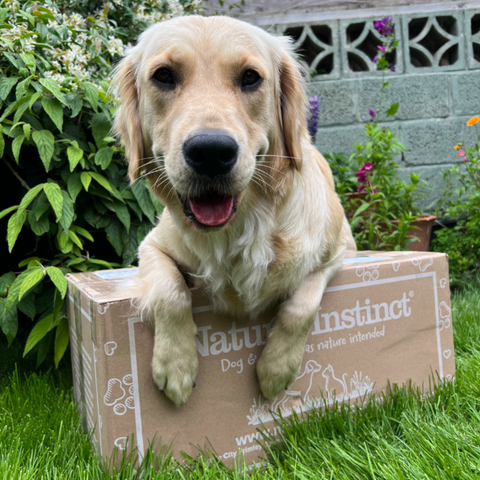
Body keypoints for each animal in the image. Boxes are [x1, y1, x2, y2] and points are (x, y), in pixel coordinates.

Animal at [111, 14, 352, 404]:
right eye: (163, 75)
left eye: (250, 77)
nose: (210, 152)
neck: (241, 227)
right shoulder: (151, 245)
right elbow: (170, 291)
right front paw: (176, 364)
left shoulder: (337, 251)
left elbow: (301, 305)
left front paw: (276, 369)